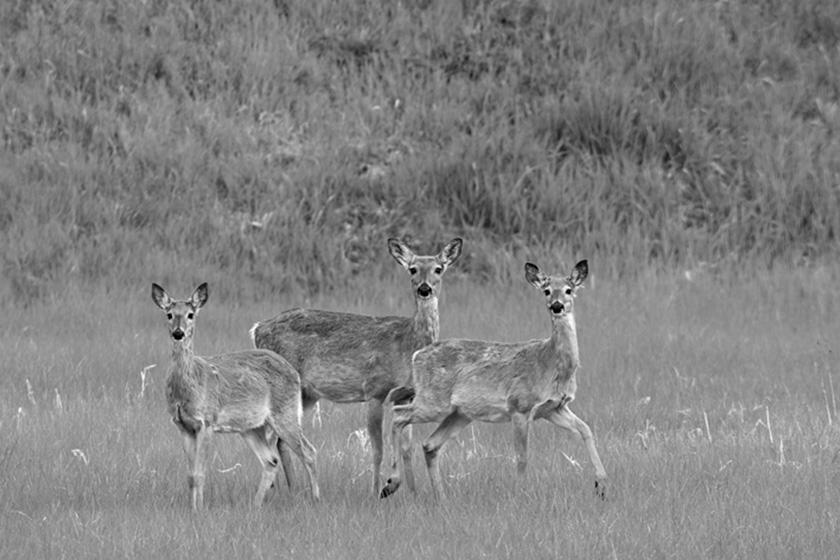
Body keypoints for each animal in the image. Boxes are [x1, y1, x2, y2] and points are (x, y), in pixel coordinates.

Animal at [151, 282, 320, 510]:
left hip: (286, 413)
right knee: (271, 460)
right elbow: (190, 476)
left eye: (190, 314)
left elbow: (200, 473)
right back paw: (255, 506)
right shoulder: (183, 426)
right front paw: (191, 508)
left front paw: (199, 510)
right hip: (251, 426)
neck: (188, 386)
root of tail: (294, 372)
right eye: (169, 314)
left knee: (308, 451)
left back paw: (316, 499)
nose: (178, 332)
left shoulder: (207, 421)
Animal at [250, 237, 463, 496]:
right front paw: (378, 490)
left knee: (279, 439)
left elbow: (407, 447)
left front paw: (411, 493)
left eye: (438, 269)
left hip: (306, 394)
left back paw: (290, 490)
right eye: (412, 269)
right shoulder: (375, 390)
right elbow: (377, 449)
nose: (424, 289)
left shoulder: (406, 395)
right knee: (273, 436)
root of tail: (257, 328)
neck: (407, 344)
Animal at [379, 260, 607, 499]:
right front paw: (521, 494)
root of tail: (417, 355)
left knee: (430, 444)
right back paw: (391, 483)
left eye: (568, 289)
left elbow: (586, 429)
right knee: (398, 415)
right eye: (546, 290)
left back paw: (440, 497)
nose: (556, 305)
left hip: (459, 413)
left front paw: (601, 484)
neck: (552, 362)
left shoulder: (554, 408)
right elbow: (522, 457)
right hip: (434, 401)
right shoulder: (520, 406)